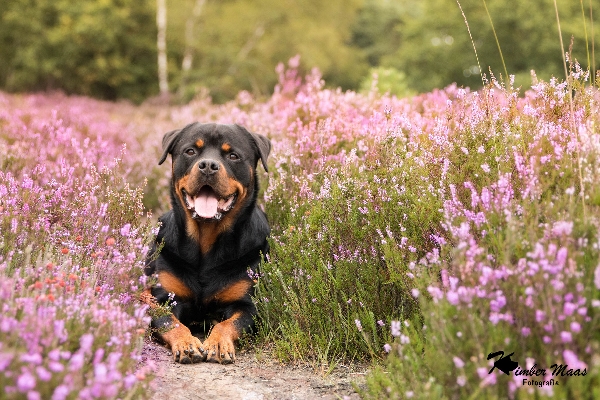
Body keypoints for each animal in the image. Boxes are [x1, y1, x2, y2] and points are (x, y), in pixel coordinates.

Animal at [143, 123, 270, 364]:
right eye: (191, 151)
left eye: (233, 155)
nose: (208, 166)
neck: (206, 244)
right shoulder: (164, 298)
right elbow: (168, 321)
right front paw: (187, 343)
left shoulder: (248, 305)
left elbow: (228, 323)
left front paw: (218, 342)